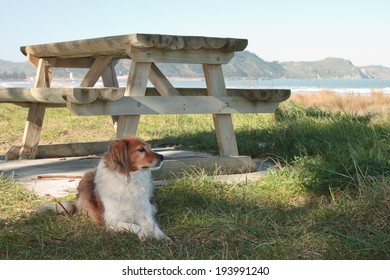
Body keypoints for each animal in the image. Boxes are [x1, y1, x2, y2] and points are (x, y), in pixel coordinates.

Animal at [38, 136, 170, 241]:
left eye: (149, 148)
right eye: (141, 150)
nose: (162, 157)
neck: (130, 179)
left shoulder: (143, 214)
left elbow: (153, 226)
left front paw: (163, 237)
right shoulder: (112, 221)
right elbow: (134, 226)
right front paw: (143, 233)